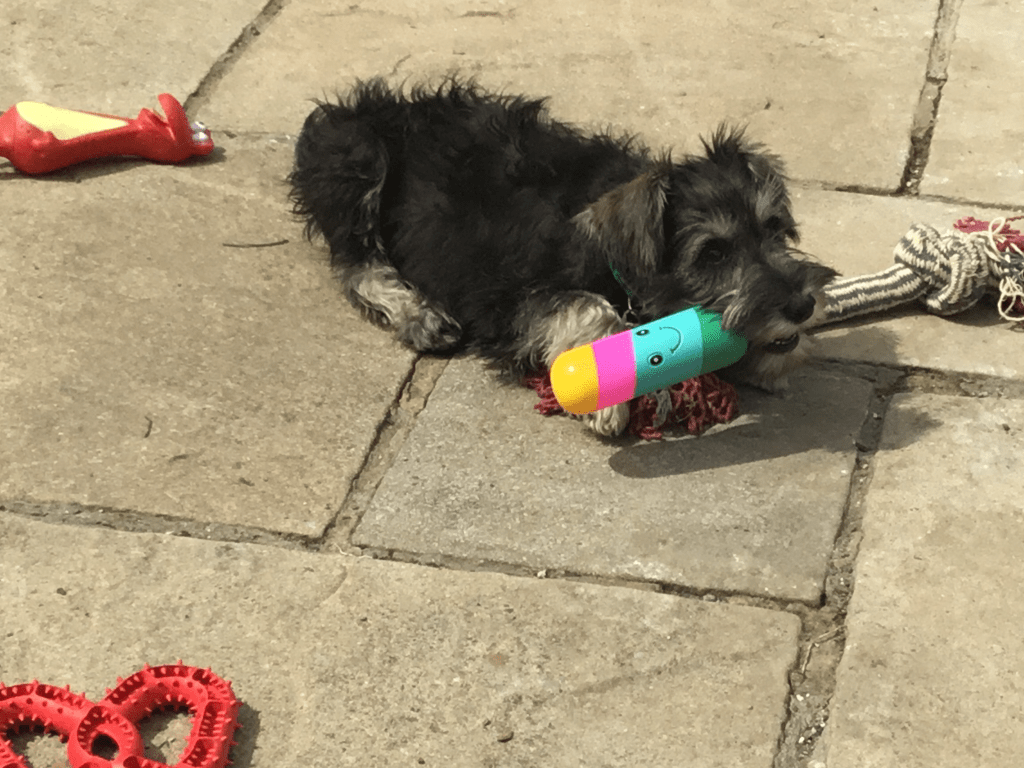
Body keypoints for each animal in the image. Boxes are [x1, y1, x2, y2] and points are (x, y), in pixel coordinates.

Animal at [288, 78, 837, 436]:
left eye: (774, 228)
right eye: (714, 253)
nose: (802, 304)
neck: (611, 255)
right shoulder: (505, 302)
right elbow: (588, 305)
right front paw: (611, 401)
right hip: (355, 158)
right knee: (356, 264)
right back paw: (420, 314)